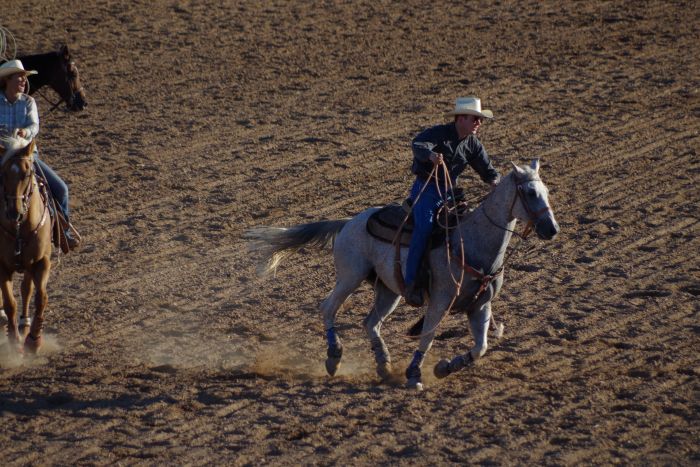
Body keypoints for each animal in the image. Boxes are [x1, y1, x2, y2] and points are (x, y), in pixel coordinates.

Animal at [246, 161, 556, 392]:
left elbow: (481, 347)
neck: (470, 242)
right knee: (328, 308)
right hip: (350, 276)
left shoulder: (480, 305)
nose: (552, 229)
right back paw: (334, 357)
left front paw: (445, 367)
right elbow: (428, 337)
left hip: (389, 289)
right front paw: (414, 374)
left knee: (370, 322)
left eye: (546, 190)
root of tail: (349, 221)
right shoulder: (440, 302)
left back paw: (383, 363)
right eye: (530, 192)